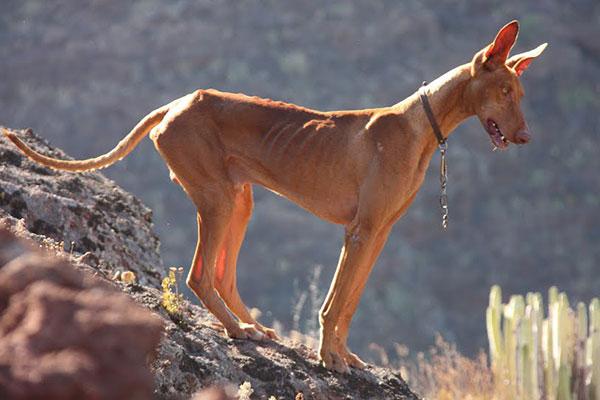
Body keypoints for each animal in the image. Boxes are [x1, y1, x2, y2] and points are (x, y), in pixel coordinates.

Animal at [4, 21, 548, 372]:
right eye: (505, 93)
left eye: (522, 96)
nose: (526, 138)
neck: (419, 126)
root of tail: (175, 103)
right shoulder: (361, 231)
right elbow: (334, 302)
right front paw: (330, 359)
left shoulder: (379, 233)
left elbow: (349, 302)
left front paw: (343, 356)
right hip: (218, 198)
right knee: (200, 275)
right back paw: (237, 331)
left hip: (240, 199)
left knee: (223, 275)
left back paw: (254, 328)